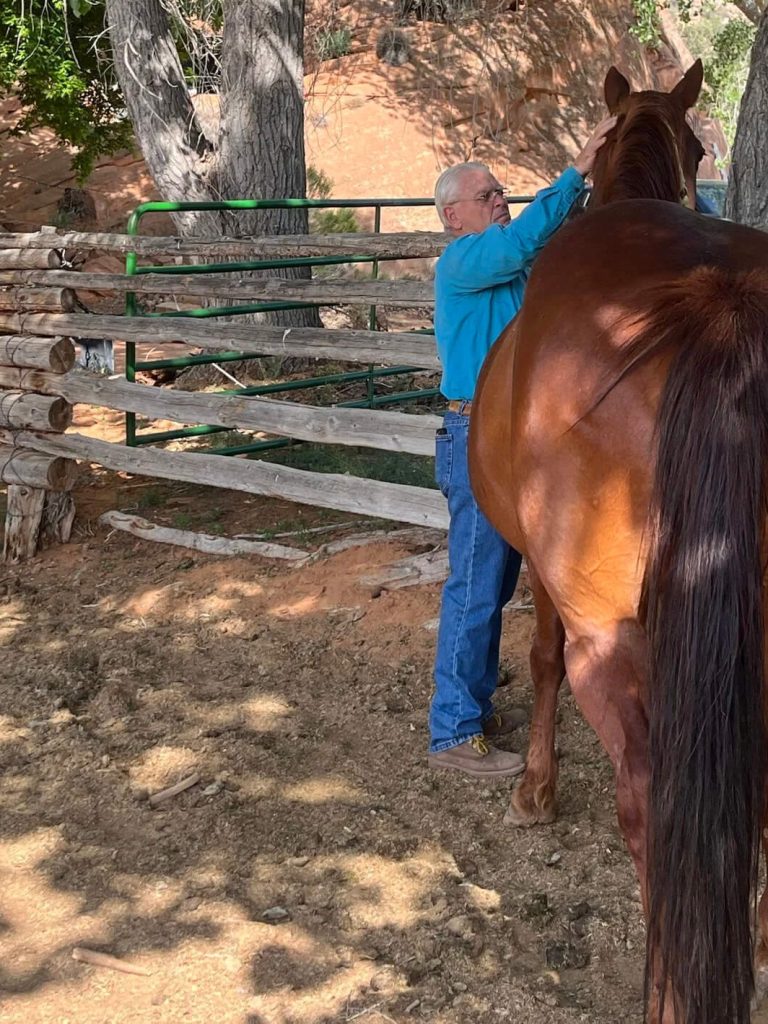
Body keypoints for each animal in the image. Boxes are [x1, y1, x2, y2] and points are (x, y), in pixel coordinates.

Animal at [469, 61, 768, 1024]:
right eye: (701, 147)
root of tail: (718, 303)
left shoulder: (551, 587)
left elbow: (541, 659)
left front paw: (535, 790)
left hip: (614, 643)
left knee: (653, 806)